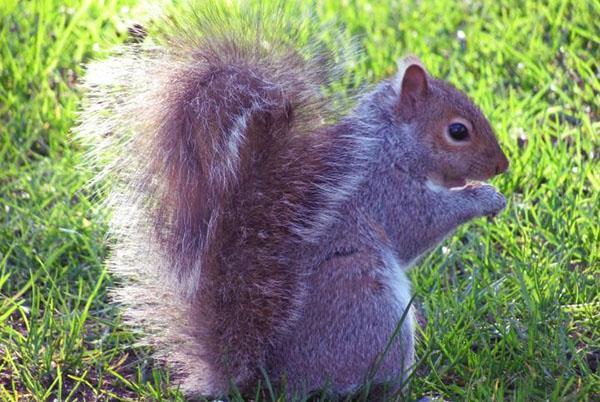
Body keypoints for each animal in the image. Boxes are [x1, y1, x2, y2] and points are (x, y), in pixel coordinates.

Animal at [75, 2, 506, 398]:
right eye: (457, 131)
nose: (502, 166)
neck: (389, 141)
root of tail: (268, 383)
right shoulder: (382, 190)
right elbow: (418, 225)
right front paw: (485, 198)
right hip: (366, 304)